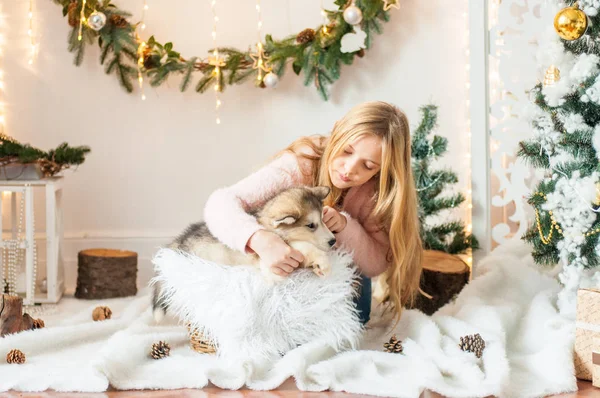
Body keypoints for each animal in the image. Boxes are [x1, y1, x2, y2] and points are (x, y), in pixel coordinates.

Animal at [151, 186, 338, 320]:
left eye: (322, 219)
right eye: (311, 225)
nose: (333, 241)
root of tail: (179, 241)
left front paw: (316, 265)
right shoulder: (269, 267)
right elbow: (300, 245)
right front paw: (322, 262)